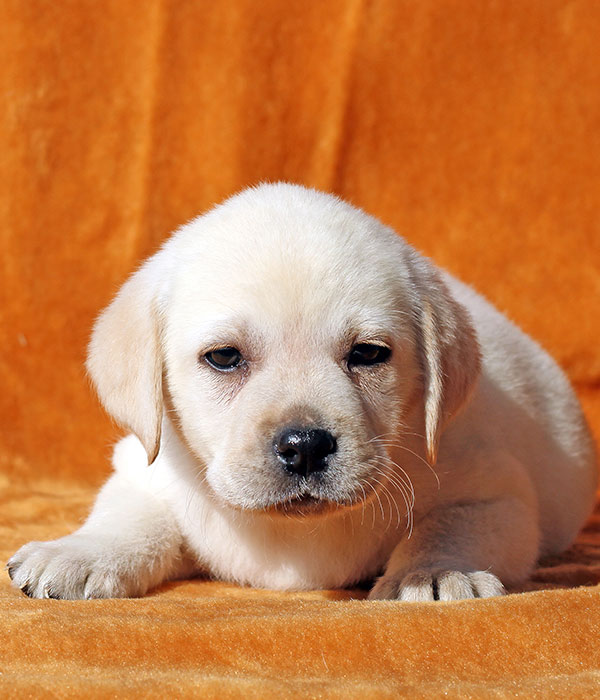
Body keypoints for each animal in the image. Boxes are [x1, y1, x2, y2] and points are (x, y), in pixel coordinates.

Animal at [7, 183, 596, 600]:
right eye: (224, 357)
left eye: (368, 354)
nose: (306, 446)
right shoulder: (143, 471)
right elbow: (129, 517)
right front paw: (79, 553)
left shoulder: (497, 494)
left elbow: (449, 526)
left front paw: (434, 573)